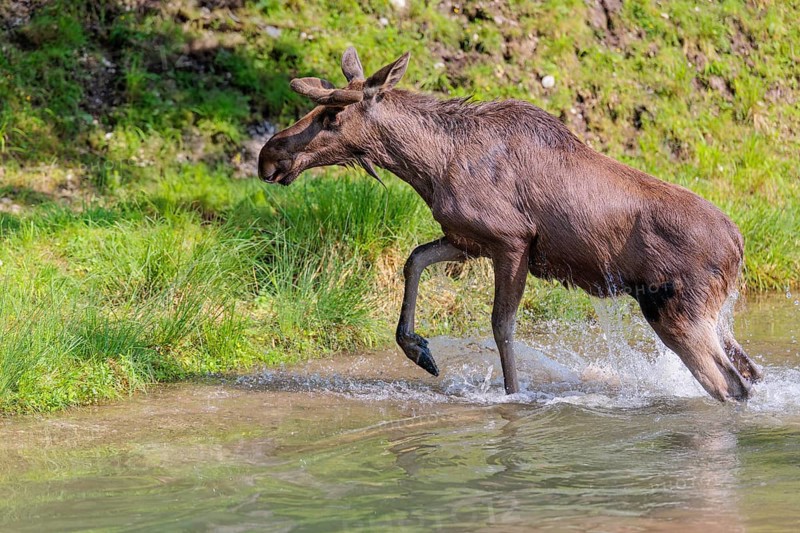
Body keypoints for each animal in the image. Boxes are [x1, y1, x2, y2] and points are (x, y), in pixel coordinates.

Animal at [257, 47, 763, 402]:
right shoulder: (467, 238)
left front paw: (513, 396)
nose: (268, 156)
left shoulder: (512, 241)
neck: (429, 165)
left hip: (675, 311)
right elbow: (413, 260)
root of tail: (740, 246)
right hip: (708, 312)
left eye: (331, 114)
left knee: (732, 385)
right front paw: (419, 350)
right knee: (752, 371)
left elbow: (502, 325)